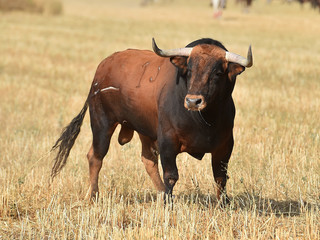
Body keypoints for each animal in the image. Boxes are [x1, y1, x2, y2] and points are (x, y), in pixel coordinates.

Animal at [51, 38, 254, 204]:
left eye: (218, 73)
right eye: (189, 70)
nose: (193, 101)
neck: (204, 120)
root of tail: (104, 66)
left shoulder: (225, 146)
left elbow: (220, 177)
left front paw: (223, 203)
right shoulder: (167, 141)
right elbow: (171, 175)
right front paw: (169, 204)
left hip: (144, 130)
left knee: (148, 160)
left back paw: (161, 193)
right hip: (102, 124)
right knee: (95, 157)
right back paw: (93, 194)